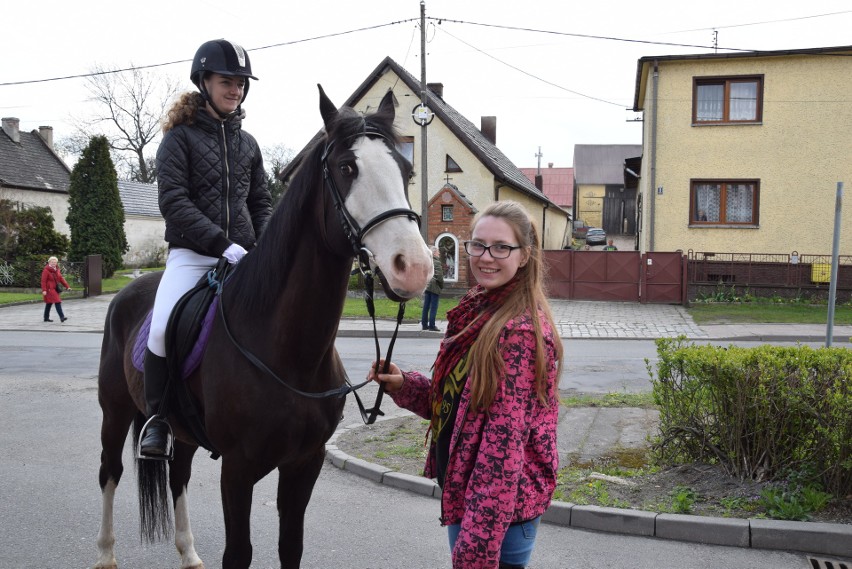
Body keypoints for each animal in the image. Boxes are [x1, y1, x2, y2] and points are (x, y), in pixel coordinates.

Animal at [95, 85, 432, 568]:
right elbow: (239, 552)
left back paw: (188, 553)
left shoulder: (304, 463)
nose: (416, 267)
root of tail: (127, 291)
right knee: (111, 471)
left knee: (178, 475)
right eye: (346, 167)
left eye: (405, 169)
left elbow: (290, 546)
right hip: (116, 410)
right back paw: (106, 554)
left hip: (182, 431)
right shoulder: (238, 470)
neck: (289, 353)